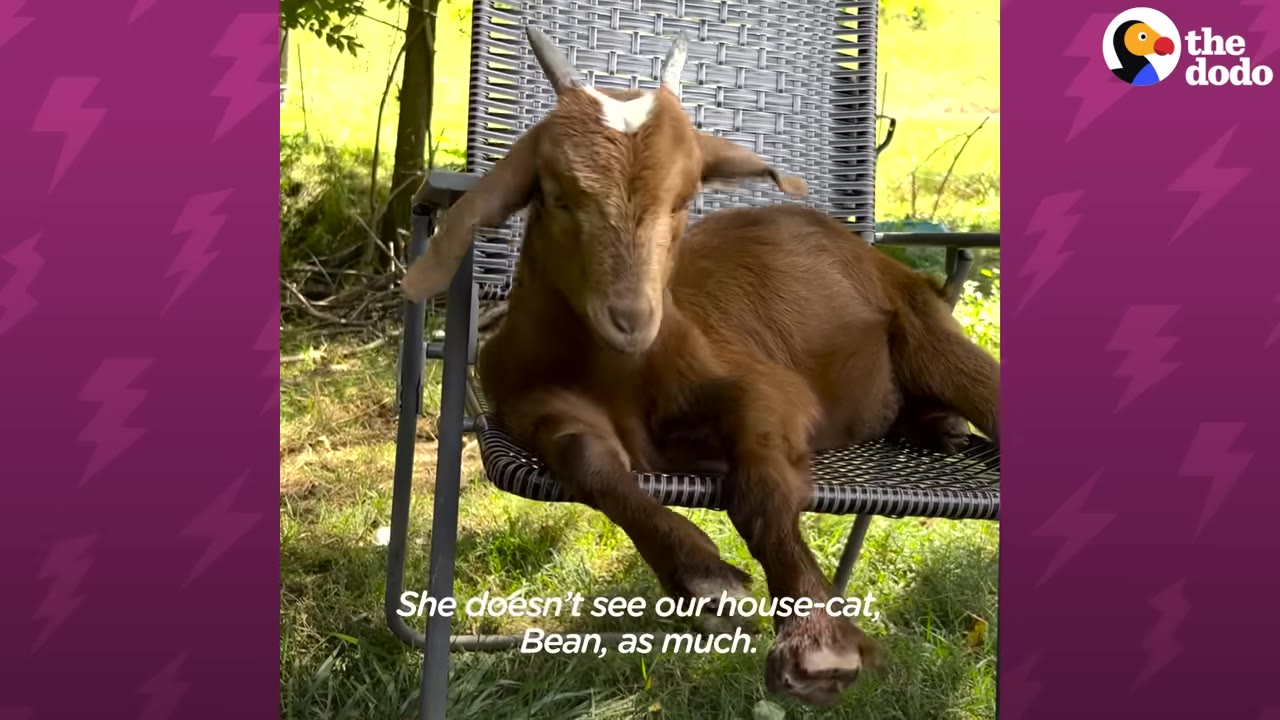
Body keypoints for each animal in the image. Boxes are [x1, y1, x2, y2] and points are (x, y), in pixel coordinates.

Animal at [401, 28, 1000, 706]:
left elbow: (759, 488)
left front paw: (817, 641)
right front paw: (702, 578)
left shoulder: (764, 388)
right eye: (558, 196)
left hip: (922, 324)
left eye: (685, 199)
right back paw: (937, 426)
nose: (631, 316)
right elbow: (587, 461)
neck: (621, 373)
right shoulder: (533, 406)